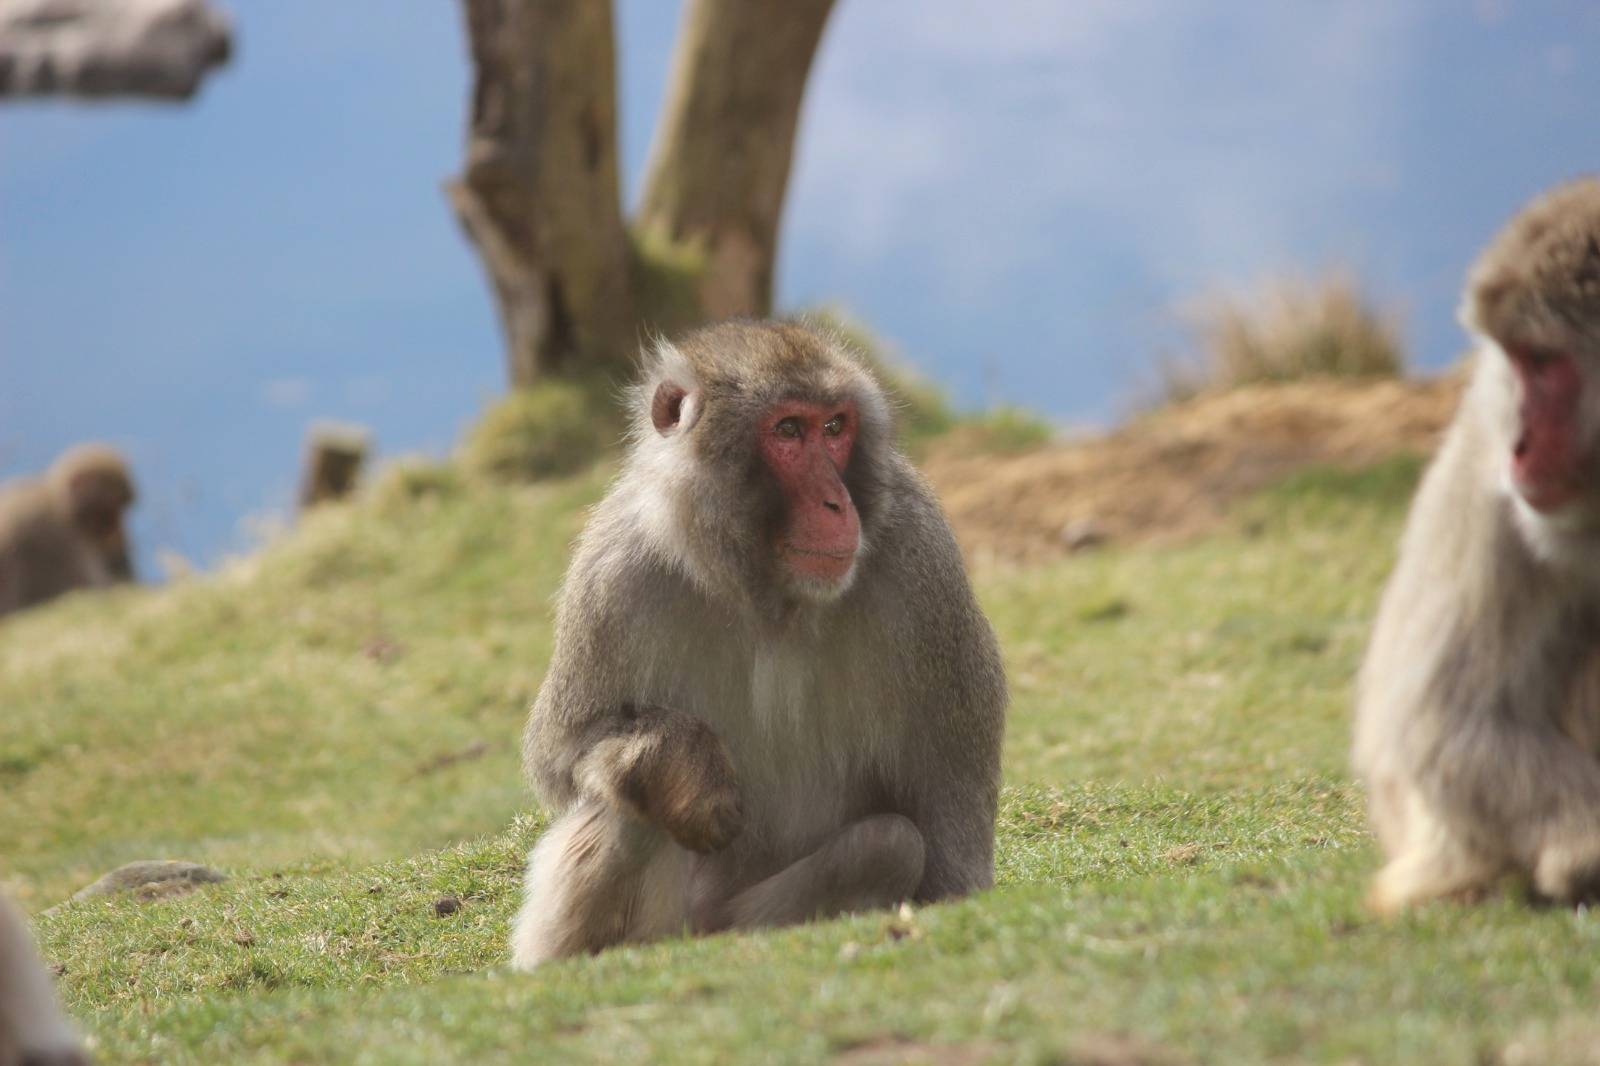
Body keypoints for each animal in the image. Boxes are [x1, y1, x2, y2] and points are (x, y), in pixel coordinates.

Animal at [509, 320, 1007, 967]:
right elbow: (562, 753)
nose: (837, 503)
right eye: (788, 430)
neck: (766, 593)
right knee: (629, 807)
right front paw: (679, 765)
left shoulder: (923, 563)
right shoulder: (612, 572)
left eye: (834, 428)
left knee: (887, 844)